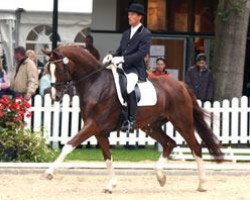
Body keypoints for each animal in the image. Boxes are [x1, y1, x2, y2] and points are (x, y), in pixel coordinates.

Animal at [43, 45, 223, 192]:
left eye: (59, 69)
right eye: (47, 70)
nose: (55, 96)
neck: (95, 83)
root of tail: (182, 85)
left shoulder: (93, 125)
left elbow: (69, 145)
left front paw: (49, 173)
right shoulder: (99, 131)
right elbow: (107, 156)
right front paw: (111, 185)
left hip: (181, 122)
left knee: (195, 147)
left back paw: (202, 184)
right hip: (150, 126)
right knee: (169, 143)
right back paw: (161, 177)